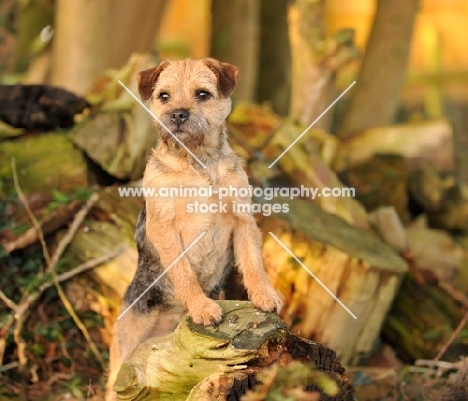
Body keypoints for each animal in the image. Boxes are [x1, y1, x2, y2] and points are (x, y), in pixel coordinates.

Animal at [106, 57, 282, 398]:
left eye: (202, 94)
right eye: (164, 96)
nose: (177, 114)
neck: (198, 163)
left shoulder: (243, 221)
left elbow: (253, 263)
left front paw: (264, 295)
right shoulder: (165, 229)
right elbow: (185, 273)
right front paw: (202, 308)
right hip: (126, 348)